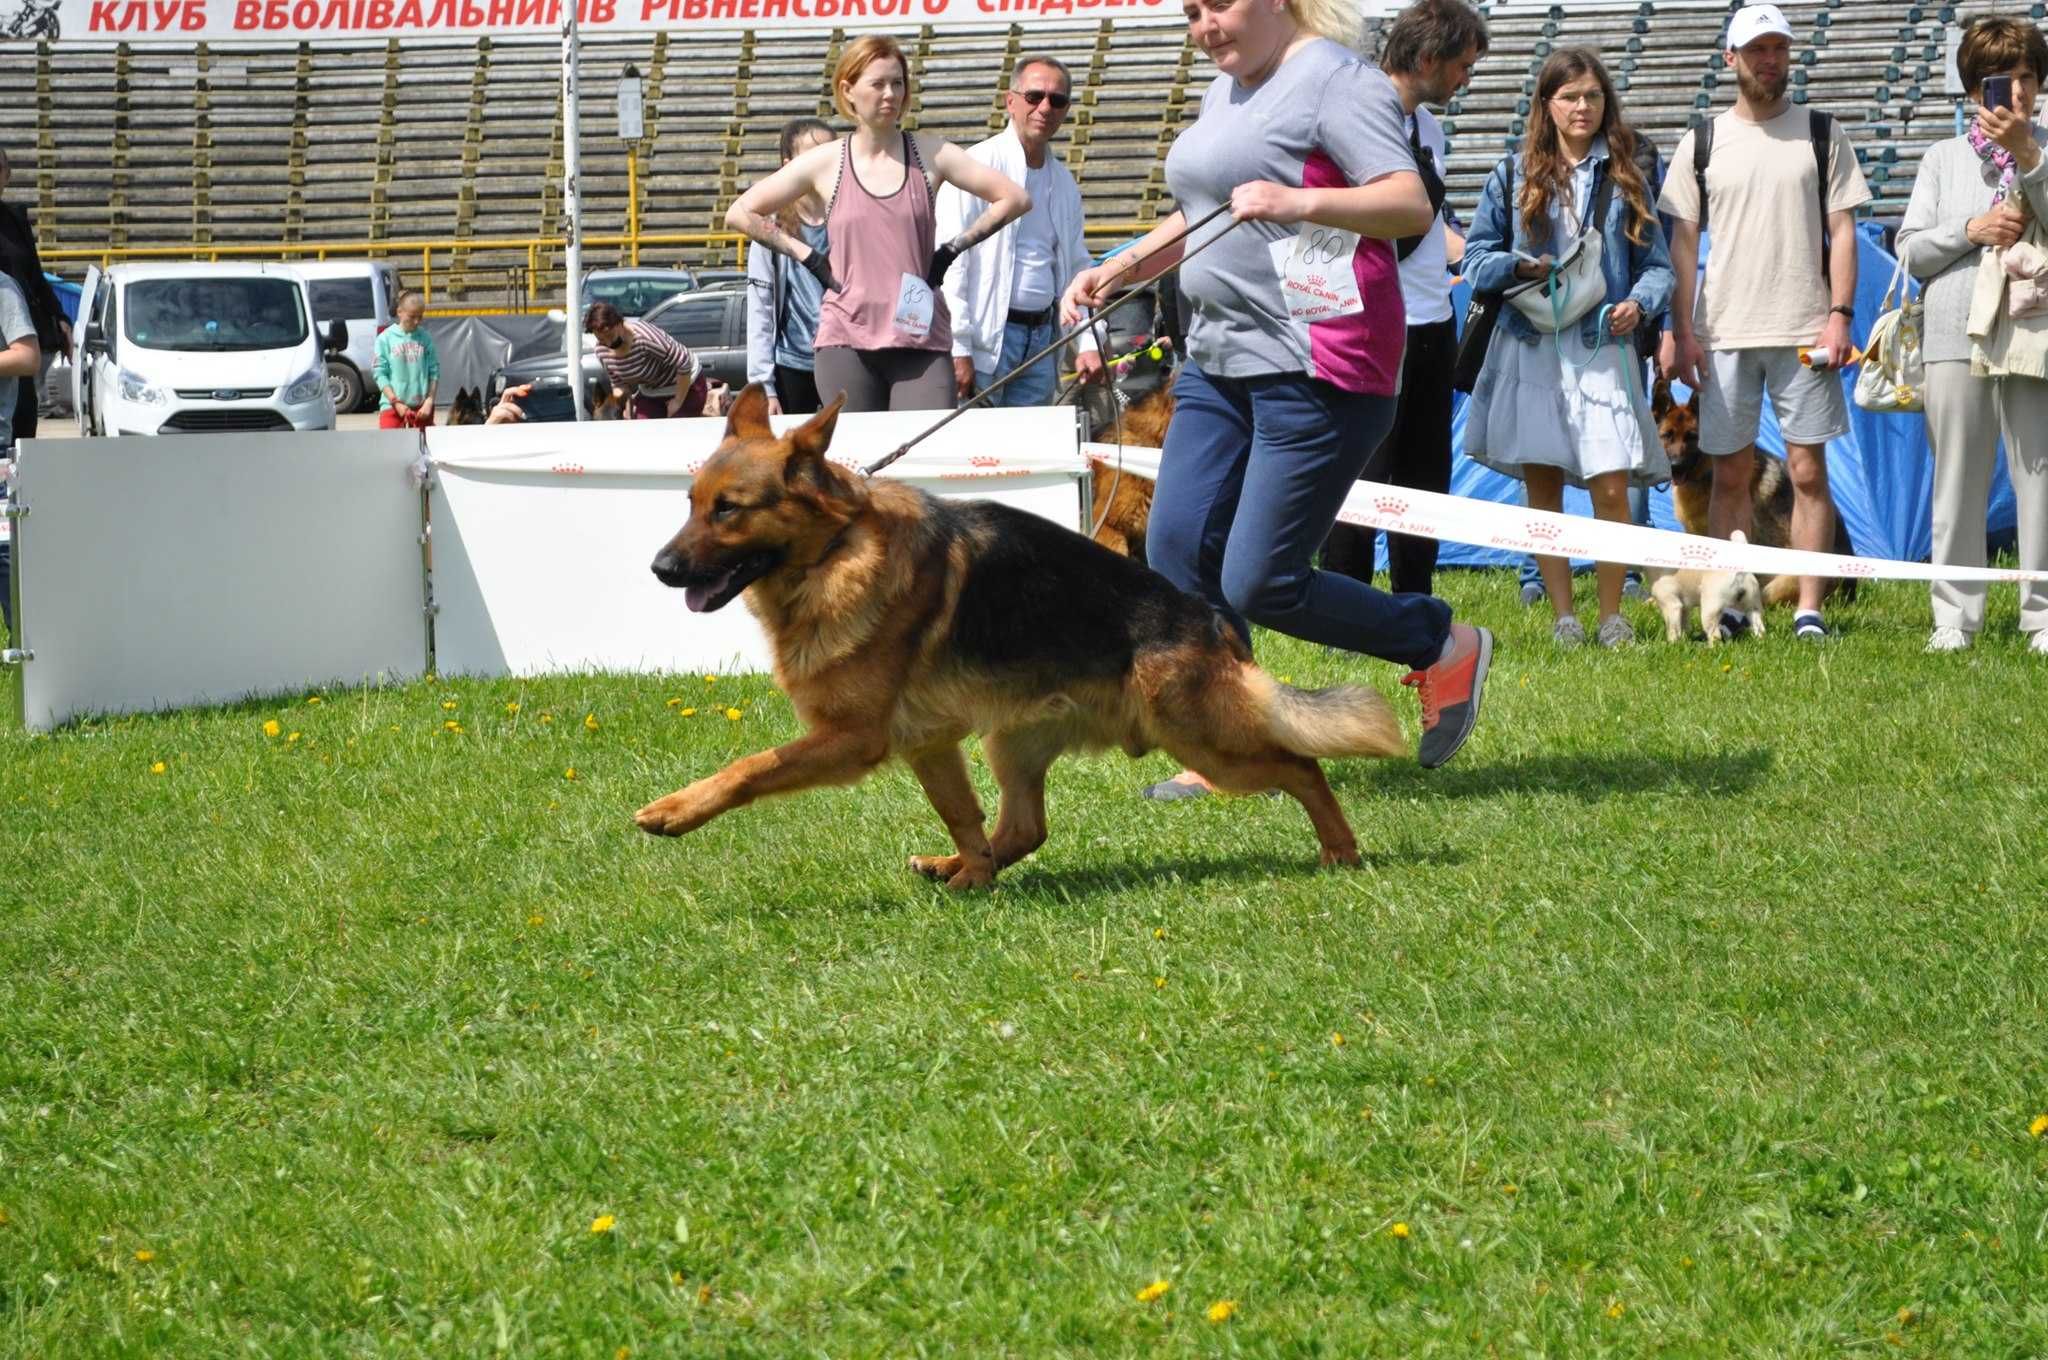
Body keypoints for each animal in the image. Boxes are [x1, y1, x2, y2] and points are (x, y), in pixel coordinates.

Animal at [638, 378, 1409, 880]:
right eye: (691, 502)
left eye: (730, 510)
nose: (660, 568)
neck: (837, 550)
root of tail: (1210, 618)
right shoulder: (930, 744)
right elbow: (963, 815)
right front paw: (972, 876)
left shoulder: (853, 739)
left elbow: (750, 767)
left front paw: (677, 810)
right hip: (1012, 740)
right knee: (1024, 828)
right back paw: (954, 870)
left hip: (1203, 741)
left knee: (1302, 767)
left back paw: (1341, 851)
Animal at [1638, 532, 1769, 643]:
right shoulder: (1684, 608)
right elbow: (1683, 626)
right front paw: (1684, 642)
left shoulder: (1671, 606)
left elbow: (1673, 630)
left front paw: (1672, 645)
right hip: (1752, 607)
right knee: (1759, 627)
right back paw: (1759, 641)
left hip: (1709, 610)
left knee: (1715, 635)